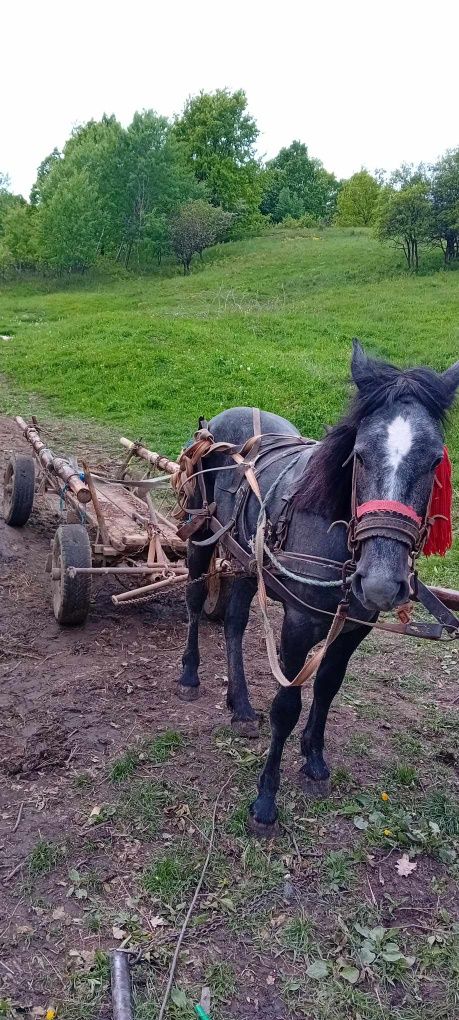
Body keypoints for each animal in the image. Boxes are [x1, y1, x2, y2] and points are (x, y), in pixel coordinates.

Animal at [176, 342, 459, 836]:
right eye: (359, 455)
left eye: (434, 461)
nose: (381, 582)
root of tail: (217, 423)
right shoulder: (300, 621)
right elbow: (287, 704)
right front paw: (265, 801)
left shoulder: (354, 625)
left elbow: (327, 685)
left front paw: (314, 760)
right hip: (200, 537)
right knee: (195, 602)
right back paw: (191, 675)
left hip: (247, 564)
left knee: (233, 623)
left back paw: (241, 706)